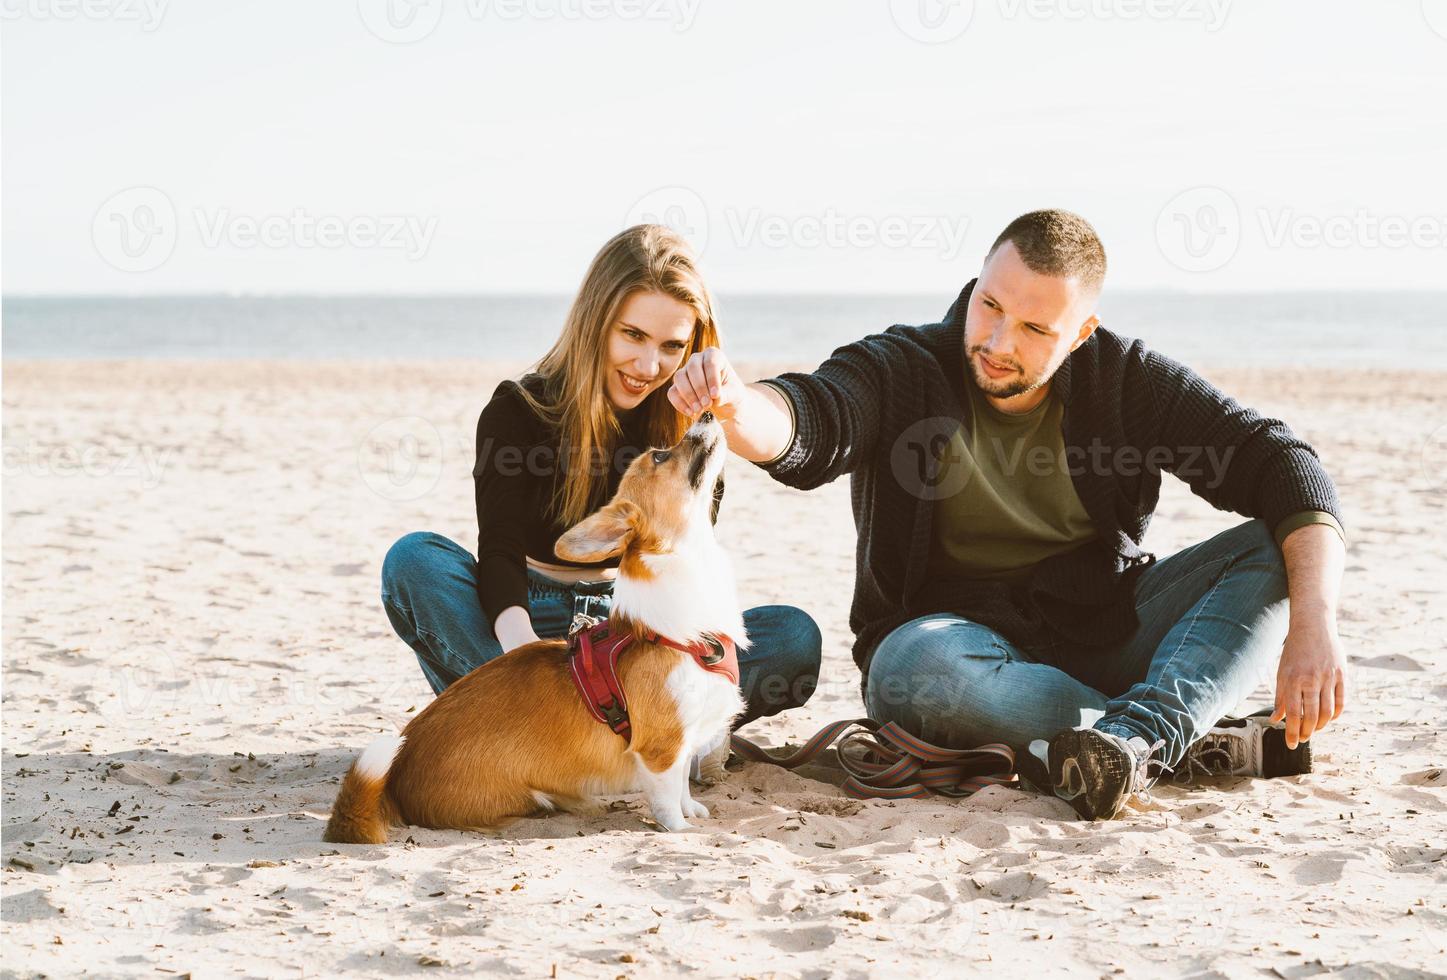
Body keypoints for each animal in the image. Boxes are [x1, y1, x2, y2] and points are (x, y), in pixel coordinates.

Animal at [327, 408, 746, 839]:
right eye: (660, 456)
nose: (708, 411)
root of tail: (394, 782)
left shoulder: (686, 740)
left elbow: (682, 787)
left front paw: (693, 810)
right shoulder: (661, 748)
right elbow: (668, 797)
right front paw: (681, 829)